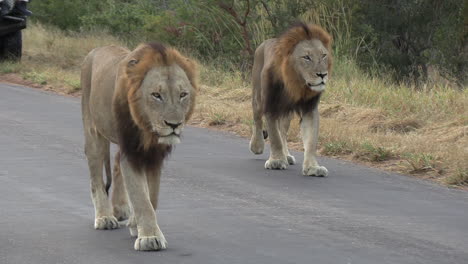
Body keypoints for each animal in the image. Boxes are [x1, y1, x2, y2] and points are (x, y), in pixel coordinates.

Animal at [80, 42, 197, 251]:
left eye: (183, 95)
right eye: (156, 95)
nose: (174, 125)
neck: (148, 130)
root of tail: (96, 50)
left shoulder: (154, 156)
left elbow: (151, 197)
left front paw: (137, 224)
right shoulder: (132, 152)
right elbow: (142, 197)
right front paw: (150, 238)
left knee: (116, 162)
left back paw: (120, 209)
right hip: (94, 130)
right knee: (96, 177)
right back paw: (104, 217)